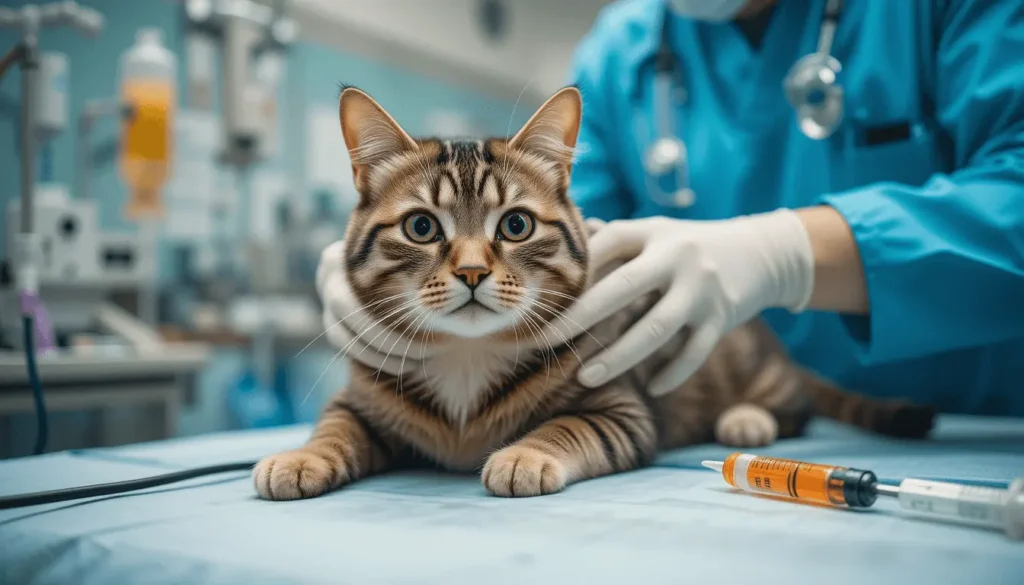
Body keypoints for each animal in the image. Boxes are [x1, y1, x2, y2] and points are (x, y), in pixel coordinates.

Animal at [249, 86, 937, 499]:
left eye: (515, 226)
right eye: (422, 227)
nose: (471, 271)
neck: (467, 357)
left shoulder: (621, 411)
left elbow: (567, 427)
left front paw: (525, 454)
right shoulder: (359, 399)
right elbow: (335, 427)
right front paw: (301, 456)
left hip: (751, 368)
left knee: (795, 409)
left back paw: (747, 418)